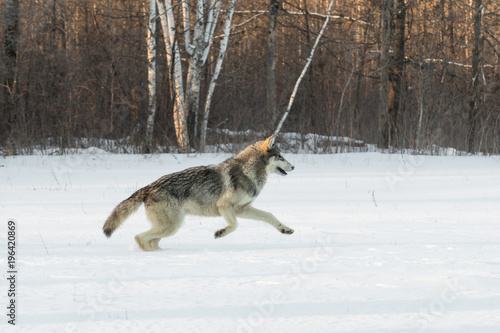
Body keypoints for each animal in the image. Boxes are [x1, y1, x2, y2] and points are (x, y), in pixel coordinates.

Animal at [103, 134, 294, 249]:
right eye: (280, 156)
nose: (293, 166)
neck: (249, 171)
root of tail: (149, 186)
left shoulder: (242, 209)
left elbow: (270, 216)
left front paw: (285, 230)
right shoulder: (225, 206)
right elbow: (235, 225)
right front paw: (220, 233)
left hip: (169, 229)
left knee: (149, 241)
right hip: (171, 227)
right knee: (139, 237)